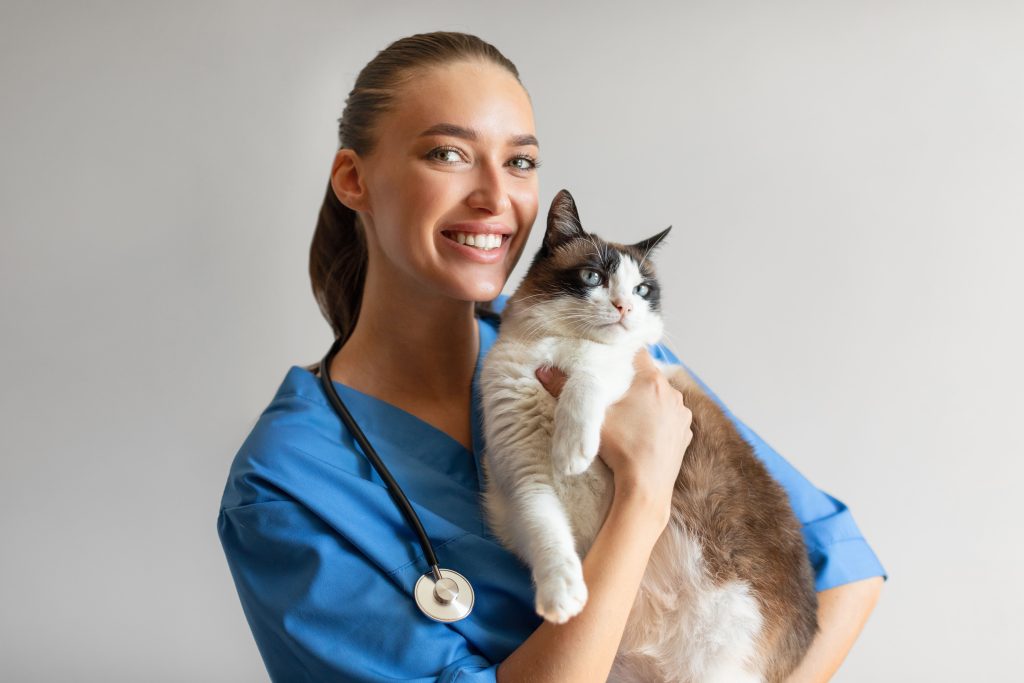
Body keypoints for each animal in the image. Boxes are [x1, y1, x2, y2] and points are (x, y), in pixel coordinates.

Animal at [477, 188, 815, 683]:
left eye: (641, 290)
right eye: (593, 277)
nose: (625, 308)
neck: (554, 350)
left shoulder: (630, 374)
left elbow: (589, 377)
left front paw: (573, 449)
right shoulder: (525, 480)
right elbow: (546, 530)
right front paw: (562, 598)